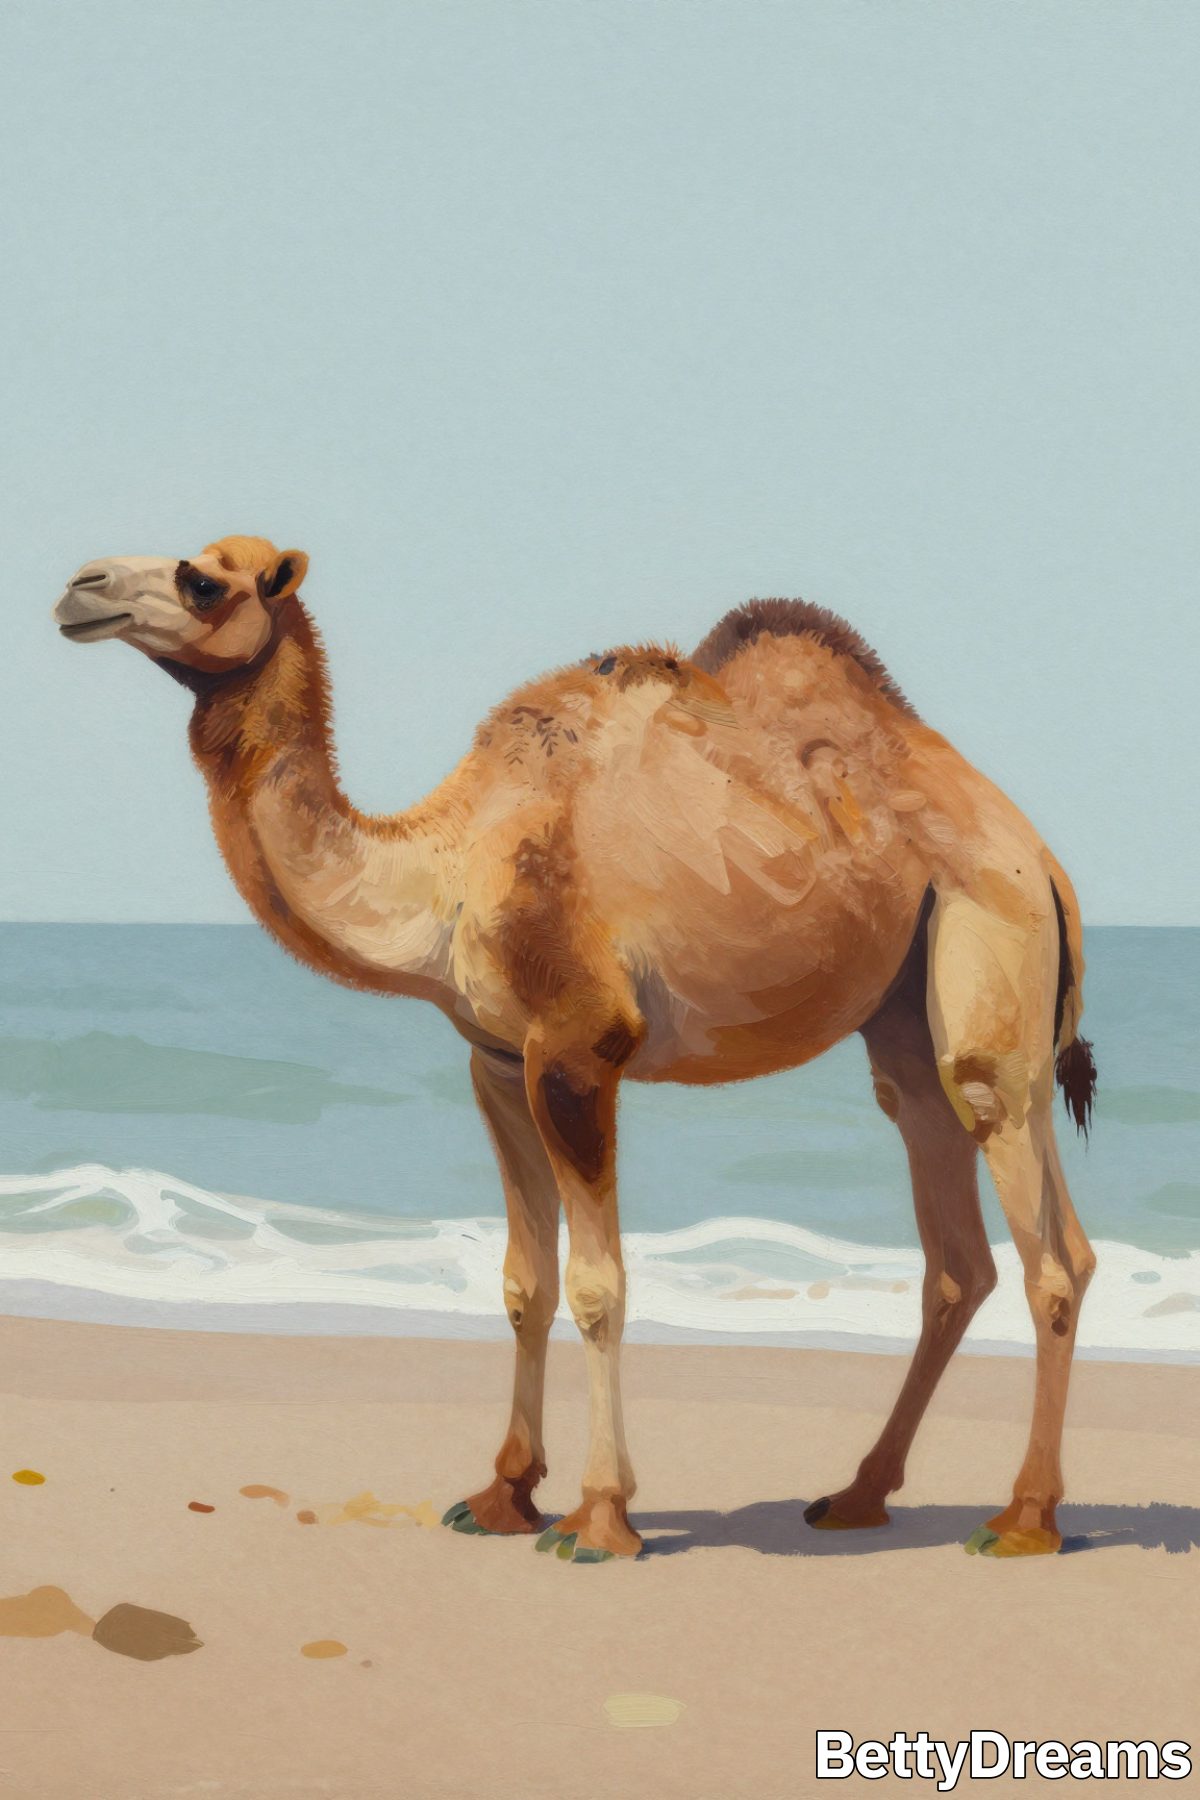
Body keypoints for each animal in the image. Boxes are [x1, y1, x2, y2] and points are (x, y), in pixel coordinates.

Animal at [53, 535, 1097, 1562]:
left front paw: (599, 1517)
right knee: (976, 1241)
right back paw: (857, 1494)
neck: (446, 873)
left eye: (203, 579)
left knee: (1034, 1230)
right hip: (912, 1019)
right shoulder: (496, 1060)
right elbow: (527, 1283)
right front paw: (503, 1494)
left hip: (988, 936)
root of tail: (1043, 857)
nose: (79, 588)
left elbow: (600, 1286)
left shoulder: (581, 1047)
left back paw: (1023, 1519)